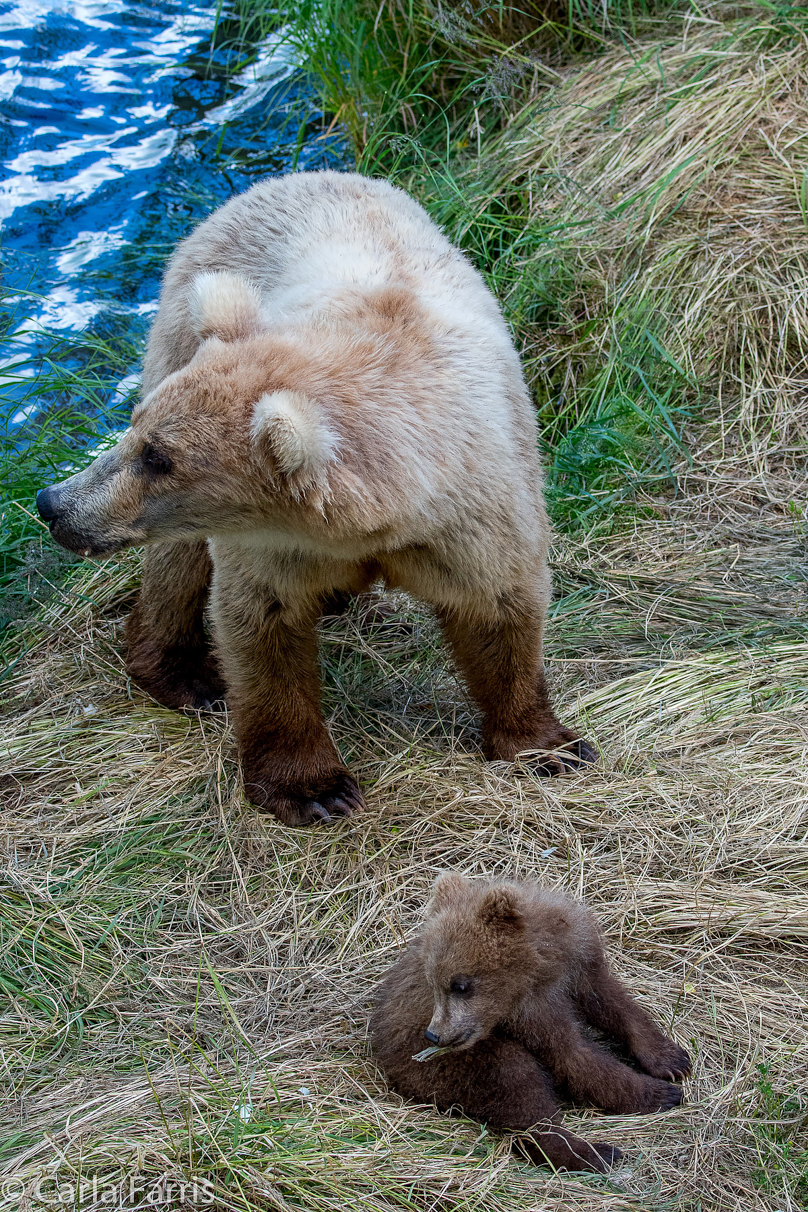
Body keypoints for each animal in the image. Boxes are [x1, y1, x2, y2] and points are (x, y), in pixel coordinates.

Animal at [36, 170, 593, 824]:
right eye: (137, 431)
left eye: (158, 458)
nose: (54, 504)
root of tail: (289, 176)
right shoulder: (274, 544)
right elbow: (263, 625)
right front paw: (316, 789)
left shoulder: (477, 509)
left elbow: (499, 608)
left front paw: (548, 745)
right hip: (181, 329)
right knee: (178, 562)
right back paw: (184, 675)